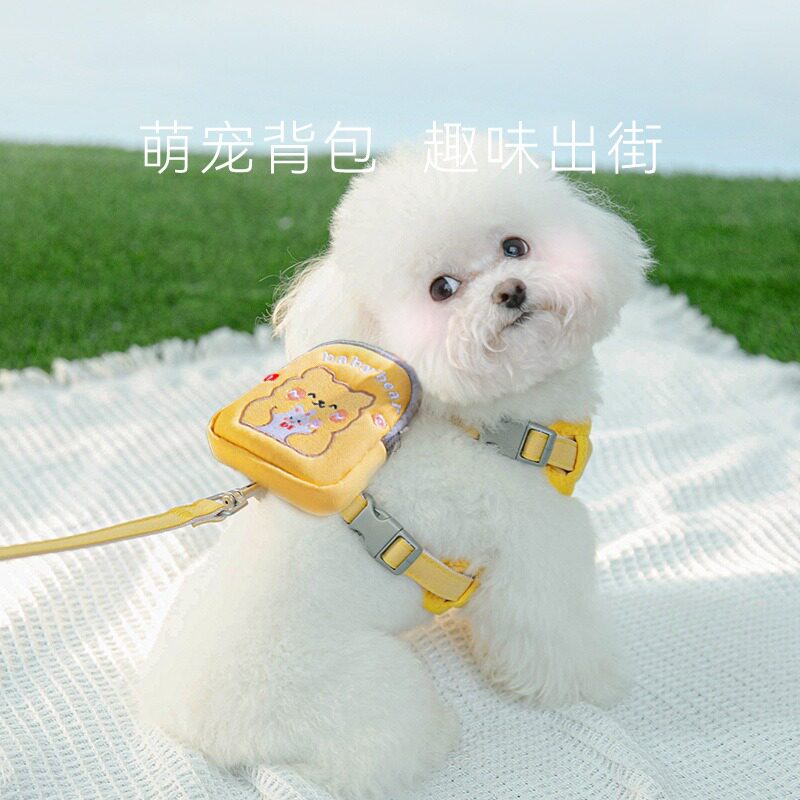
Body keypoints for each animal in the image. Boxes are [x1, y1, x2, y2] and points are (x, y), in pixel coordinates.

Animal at [137, 141, 651, 798]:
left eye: (515, 247)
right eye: (442, 288)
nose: (510, 290)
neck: (484, 426)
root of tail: (180, 718)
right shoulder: (532, 557)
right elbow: (553, 635)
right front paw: (594, 683)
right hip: (365, 691)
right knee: (376, 756)